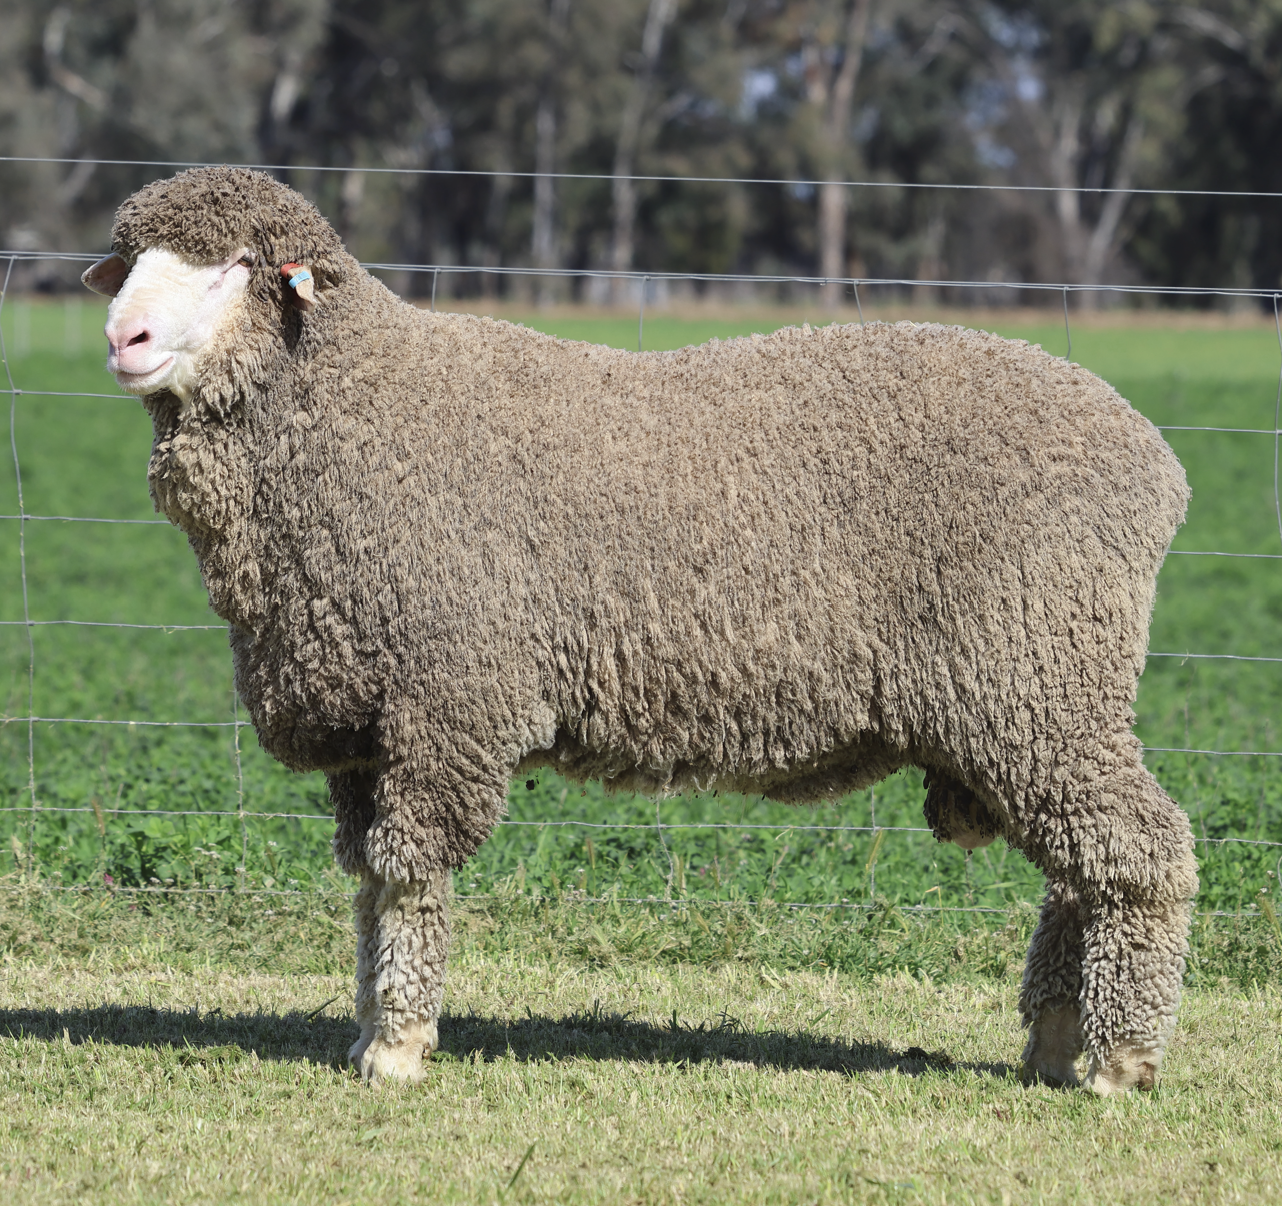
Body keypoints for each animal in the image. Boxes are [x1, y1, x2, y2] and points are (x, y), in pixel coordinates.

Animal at [83, 166, 1196, 1094]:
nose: (121, 340)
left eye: (239, 264)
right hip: (1031, 702)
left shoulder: (447, 701)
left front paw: (396, 1050)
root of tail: (1155, 460)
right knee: (1080, 868)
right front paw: (368, 1029)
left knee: (1140, 852)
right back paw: (1054, 1040)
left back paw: (1119, 1061)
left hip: (1035, 677)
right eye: (128, 262)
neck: (356, 409)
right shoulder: (370, 720)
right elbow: (368, 888)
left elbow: (408, 879)